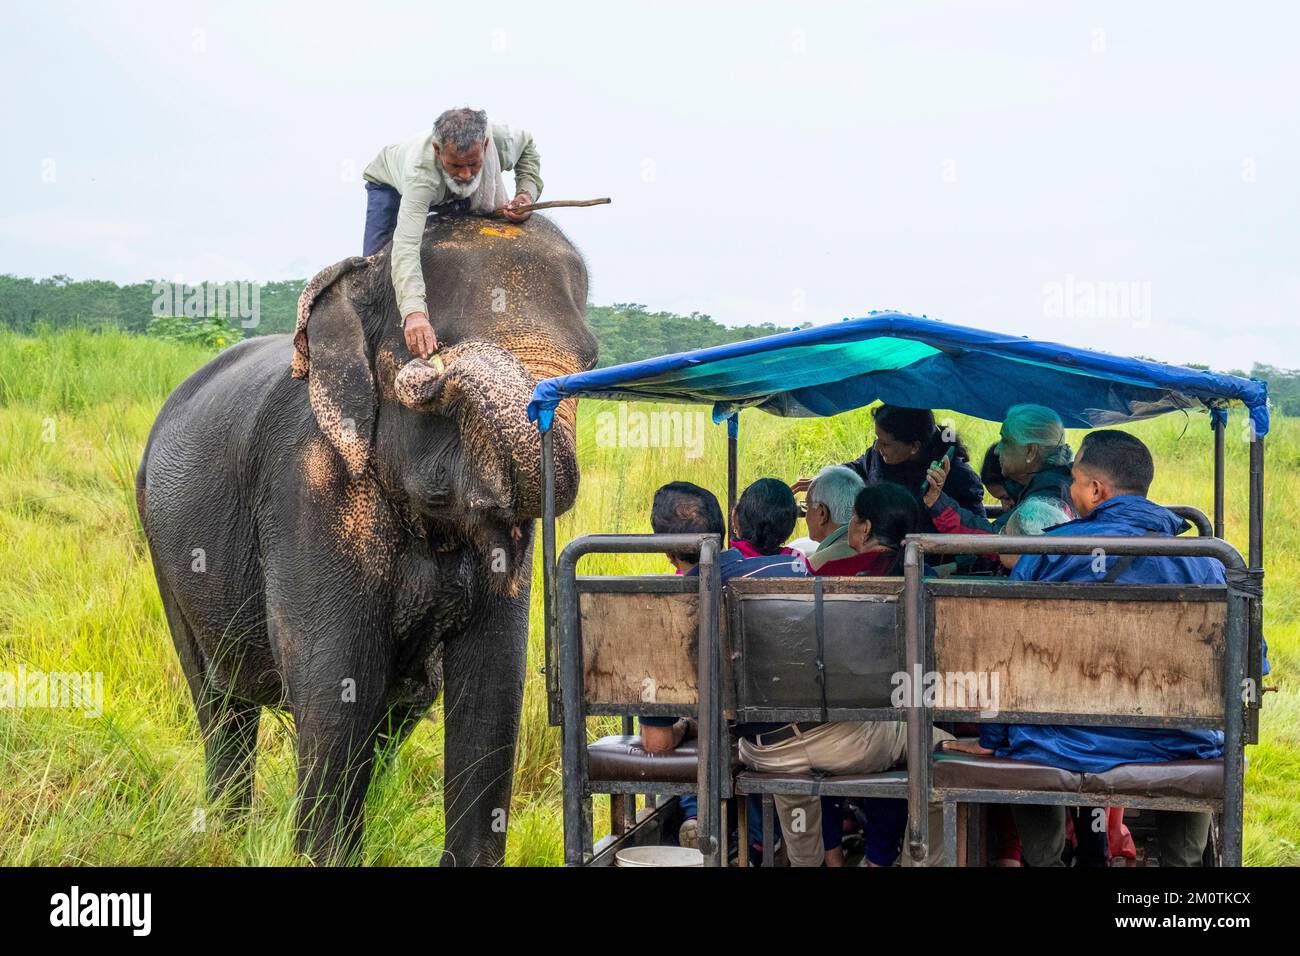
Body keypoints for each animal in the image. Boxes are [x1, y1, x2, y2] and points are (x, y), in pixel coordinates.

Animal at [135, 214, 595, 868]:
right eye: (432, 346)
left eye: (592, 360)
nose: (429, 373)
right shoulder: (306, 486)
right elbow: (337, 683)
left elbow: (492, 687)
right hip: (163, 544)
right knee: (220, 703)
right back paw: (224, 838)